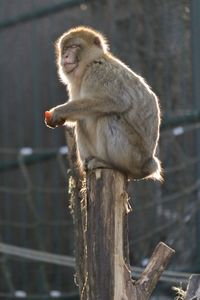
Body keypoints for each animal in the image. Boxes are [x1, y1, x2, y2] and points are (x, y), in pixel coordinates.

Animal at [44, 26, 162, 180]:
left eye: (74, 47)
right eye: (65, 49)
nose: (65, 56)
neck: (90, 63)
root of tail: (149, 163)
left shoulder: (99, 72)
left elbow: (117, 101)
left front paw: (59, 111)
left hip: (134, 156)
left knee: (107, 117)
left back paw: (109, 163)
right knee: (81, 121)